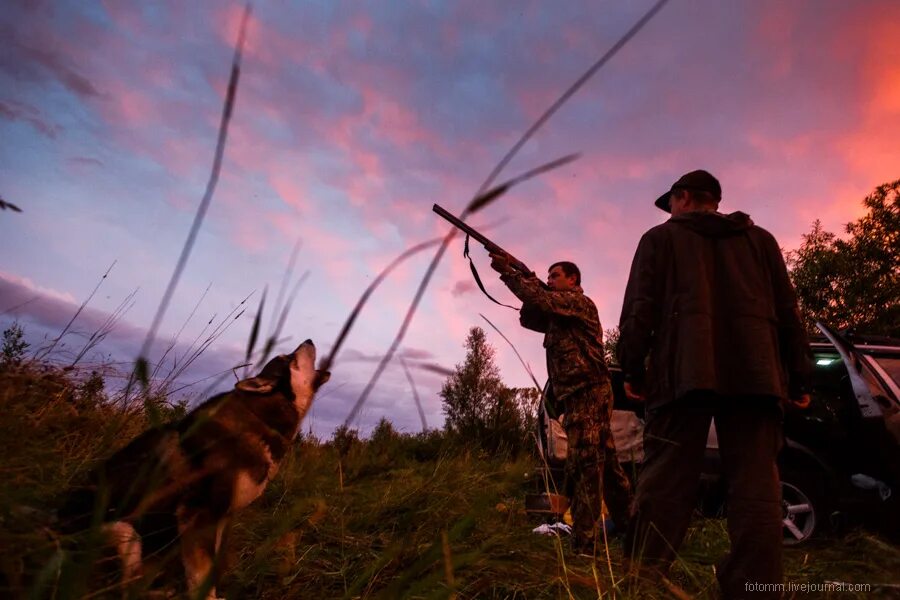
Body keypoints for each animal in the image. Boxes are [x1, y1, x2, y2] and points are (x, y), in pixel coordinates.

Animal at [58, 340, 330, 596]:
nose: (308, 340)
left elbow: (212, 568)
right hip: (123, 533)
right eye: (290, 359)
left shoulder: (221, 519)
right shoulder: (200, 512)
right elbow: (202, 576)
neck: (260, 418)